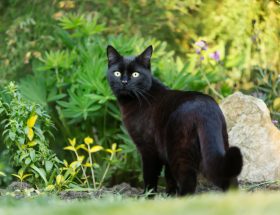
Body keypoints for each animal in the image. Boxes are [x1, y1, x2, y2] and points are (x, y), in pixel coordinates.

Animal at [106, 45, 242, 195]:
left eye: (135, 74)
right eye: (117, 73)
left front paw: (148, 195)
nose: (124, 82)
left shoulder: (149, 149)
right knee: (229, 178)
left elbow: (150, 176)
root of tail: (206, 108)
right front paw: (170, 194)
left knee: (188, 181)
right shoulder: (163, 152)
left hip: (180, 151)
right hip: (216, 146)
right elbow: (168, 176)